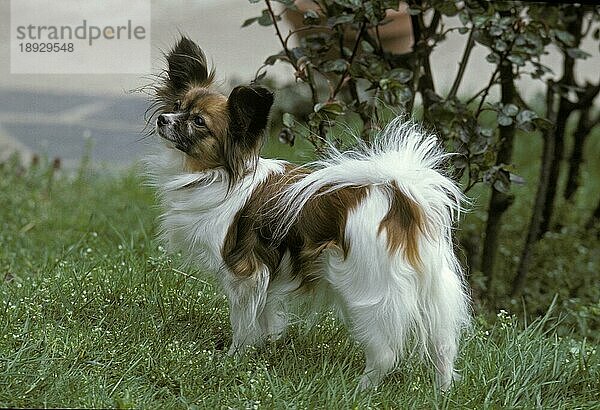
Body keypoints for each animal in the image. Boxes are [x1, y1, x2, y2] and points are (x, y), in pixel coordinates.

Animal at [145, 36, 468, 390]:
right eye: (177, 105)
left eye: (198, 122)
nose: (163, 120)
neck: (220, 175)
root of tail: (400, 199)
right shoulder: (267, 277)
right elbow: (268, 317)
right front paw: (267, 346)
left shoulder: (243, 274)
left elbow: (243, 322)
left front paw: (234, 357)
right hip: (435, 289)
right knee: (443, 346)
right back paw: (443, 390)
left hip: (369, 293)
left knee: (385, 353)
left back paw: (362, 389)